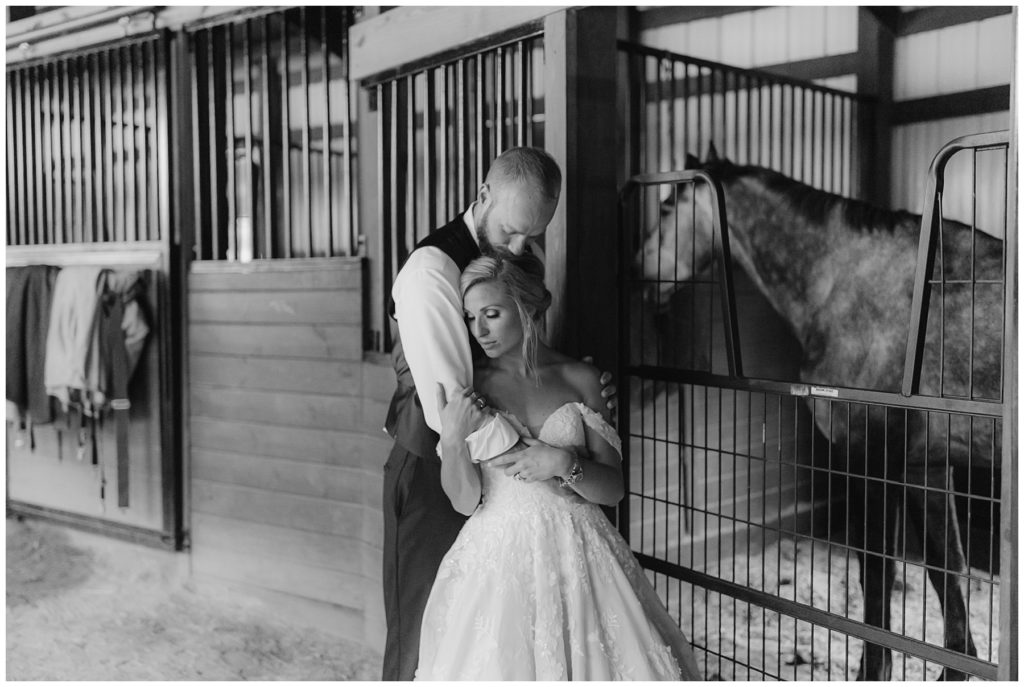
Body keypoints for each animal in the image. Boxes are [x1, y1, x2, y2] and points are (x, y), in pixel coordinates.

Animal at [634, 147, 1003, 679]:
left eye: (666, 207)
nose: (641, 274)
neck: (848, 282)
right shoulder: (926, 464)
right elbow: (945, 568)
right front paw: (954, 668)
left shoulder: (873, 460)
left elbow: (878, 573)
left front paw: (873, 670)